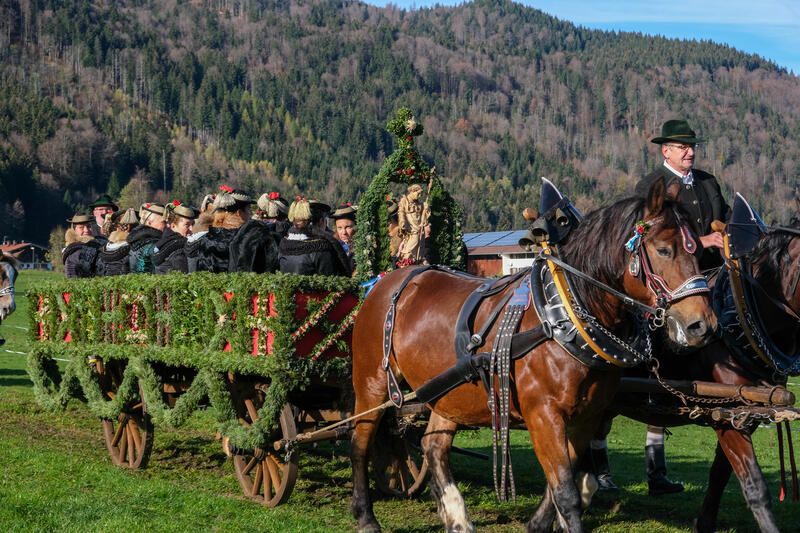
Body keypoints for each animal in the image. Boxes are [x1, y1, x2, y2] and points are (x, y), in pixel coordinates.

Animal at [348, 179, 712, 532]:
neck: (563, 317)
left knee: (433, 448)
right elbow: (566, 493)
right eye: (664, 250)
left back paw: (457, 518)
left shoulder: (587, 417)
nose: (702, 325)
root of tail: (390, 278)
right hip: (371, 383)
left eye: (699, 251)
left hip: (450, 392)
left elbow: (571, 484)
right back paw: (365, 516)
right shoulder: (544, 416)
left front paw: (537, 523)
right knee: (360, 442)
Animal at [592, 196, 796, 532]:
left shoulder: (742, 413)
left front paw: (705, 521)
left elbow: (720, 474)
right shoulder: (730, 415)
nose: (704, 328)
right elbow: (754, 484)